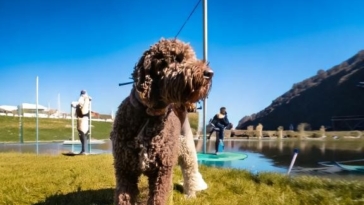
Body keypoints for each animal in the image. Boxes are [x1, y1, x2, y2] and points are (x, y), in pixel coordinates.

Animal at [111, 38, 213, 205]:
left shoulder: (162, 171)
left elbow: (159, 197)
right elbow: (123, 197)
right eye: (177, 58)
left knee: (190, 173)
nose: (209, 73)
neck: (149, 116)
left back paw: (190, 195)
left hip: (187, 152)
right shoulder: (125, 170)